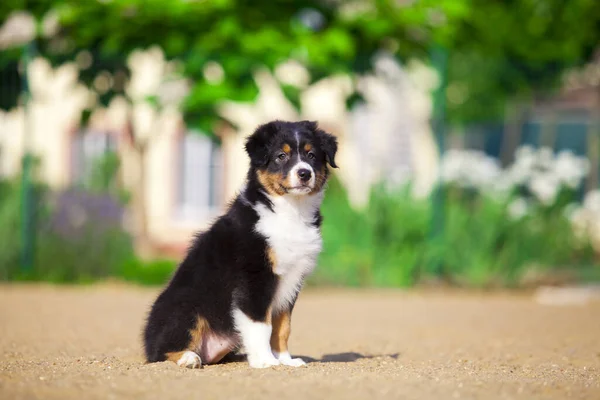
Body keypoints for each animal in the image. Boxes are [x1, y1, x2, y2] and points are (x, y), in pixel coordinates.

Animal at [142, 119, 336, 368]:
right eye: (281, 156)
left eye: (312, 155)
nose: (304, 173)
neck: (290, 210)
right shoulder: (255, 278)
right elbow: (261, 324)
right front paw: (265, 361)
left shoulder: (292, 281)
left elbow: (283, 327)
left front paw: (285, 360)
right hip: (185, 305)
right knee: (161, 352)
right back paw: (189, 357)